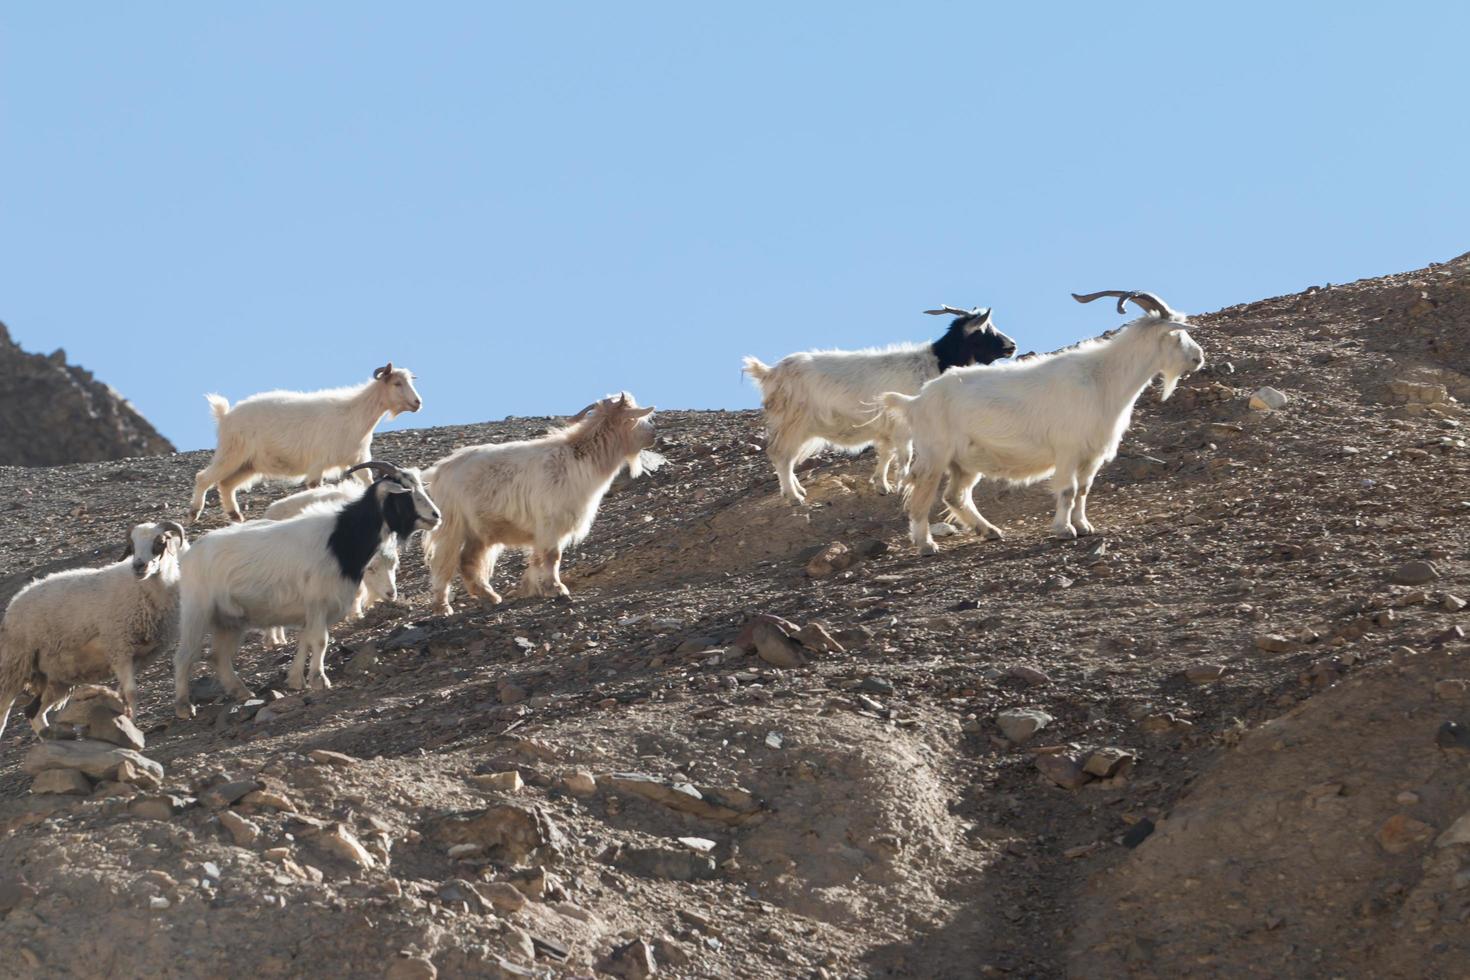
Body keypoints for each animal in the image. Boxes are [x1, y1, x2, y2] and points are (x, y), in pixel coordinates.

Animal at [0, 517, 189, 740]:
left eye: (159, 542)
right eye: (132, 545)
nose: (138, 566)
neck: (144, 590)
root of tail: (15, 601)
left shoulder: (137, 657)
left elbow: (123, 692)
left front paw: (126, 720)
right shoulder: (119, 648)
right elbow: (131, 692)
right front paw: (132, 724)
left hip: (56, 677)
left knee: (34, 713)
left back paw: (52, 736)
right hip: (16, 665)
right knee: (5, 710)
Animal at [172, 461, 435, 719]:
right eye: (405, 492)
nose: (436, 516)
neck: (339, 539)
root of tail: (189, 555)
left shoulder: (312, 609)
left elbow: (305, 640)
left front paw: (297, 679)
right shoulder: (318, 600)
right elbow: (319, 640)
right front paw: (319, 680)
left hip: (230, 621)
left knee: (219, 656)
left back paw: (241, 691)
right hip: (197, 611)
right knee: (186, 655)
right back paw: (184, 706)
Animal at [186, 364, 423, 525]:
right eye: (397, 383)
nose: (418, 403)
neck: (354, 413)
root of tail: (225, 416)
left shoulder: (358, 459)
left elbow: (368, 480)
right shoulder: (318, 464)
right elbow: (314, 487)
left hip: (248, 465)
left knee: (226, 484)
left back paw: (236, 516)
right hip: (232, 453)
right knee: (204, 478)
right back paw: (194, 512)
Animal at [423, 393, 658, 614]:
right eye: (634, 417)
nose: (653, 434)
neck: (579, 457)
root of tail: (441, 469)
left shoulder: (543, 529)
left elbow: (537, 558)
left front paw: (535, 588)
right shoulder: (549, 522)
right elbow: (553, 556)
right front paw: (557, 588)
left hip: (479, 532)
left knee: (467, 561)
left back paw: (489, 596)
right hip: (452, 526)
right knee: (443, 563)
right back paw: (443, 607)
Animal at [882, 287, 1205, 555]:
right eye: (1177, 335)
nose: (1198, 358)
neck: (1102, 378)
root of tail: (915, 400)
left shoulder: (1091, 454)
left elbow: (1084, 490)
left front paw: (1084, 526)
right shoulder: (1068, 449)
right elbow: (1068, 490)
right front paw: (1064, 529)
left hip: (965, 461)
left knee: (955, 496)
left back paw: (989, 530)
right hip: (935, 455)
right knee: (921, 496)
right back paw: (926, 545)